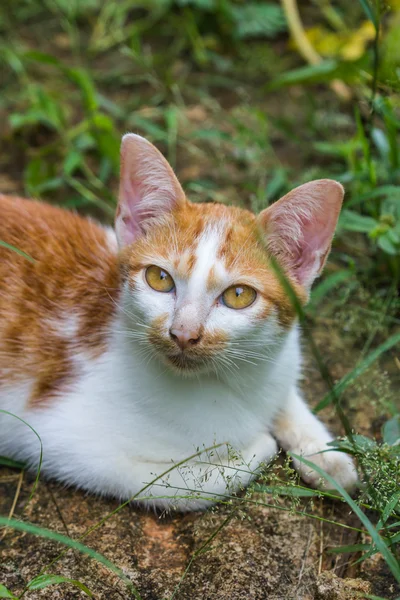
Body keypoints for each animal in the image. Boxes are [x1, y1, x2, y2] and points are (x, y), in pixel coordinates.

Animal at [0, 134, 356, 508]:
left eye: (239, 295)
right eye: (159, 278)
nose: (184, 333)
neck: (229, 382)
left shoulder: (281, 361)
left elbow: (286, 393)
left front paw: (325, 454)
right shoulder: (58, 441)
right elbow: (180, 485)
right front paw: (257, 447)